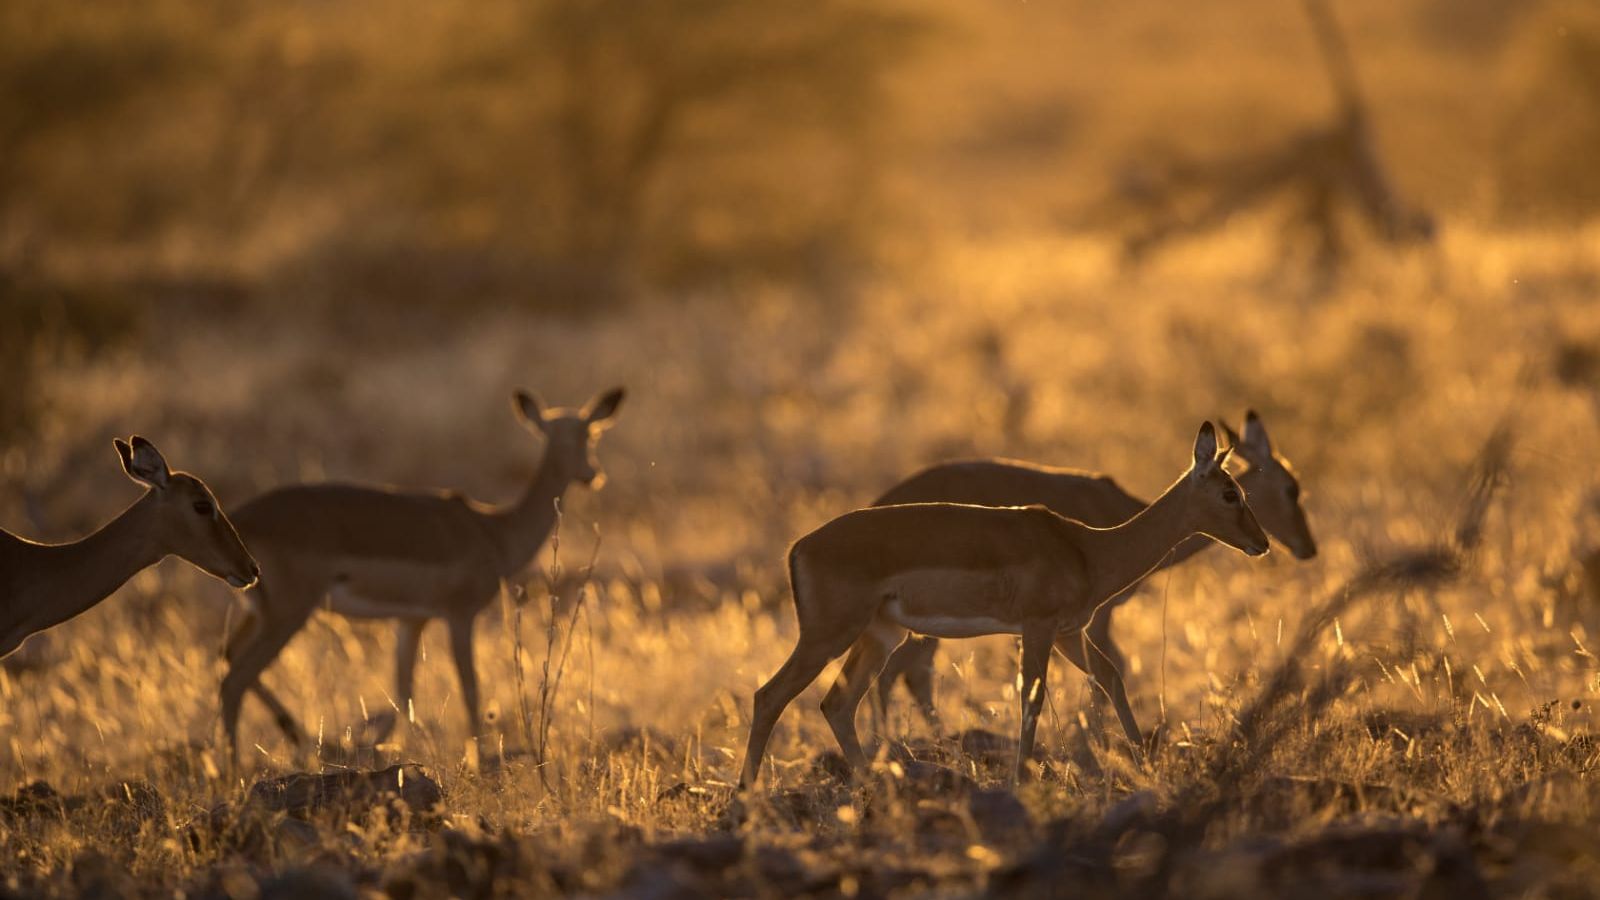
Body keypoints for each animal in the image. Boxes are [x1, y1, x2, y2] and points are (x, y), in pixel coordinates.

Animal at [219, 387, 623, 763]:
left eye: (591, 433)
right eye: (562, 436)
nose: (592, 475)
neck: (494, 532)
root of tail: (239, 520)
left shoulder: (411, 620)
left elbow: (403, 692)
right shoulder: (460, 614)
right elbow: (470, 687)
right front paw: (479, 761)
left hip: (260, 612)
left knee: (228, 657)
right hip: (289, 614)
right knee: (234, 680)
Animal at [739, 423, 1268, 788]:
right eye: (1230, 492)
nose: (1261, 543)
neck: (1087, 548)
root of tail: (799, 547)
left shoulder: (1069, 633)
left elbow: (1111, 677)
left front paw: (1143, 765)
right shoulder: (1037, 629)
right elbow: (1030, 697)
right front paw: (1021, 778)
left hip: (879, 636)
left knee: (837, 703)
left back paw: (871, 787)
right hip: (829, 635)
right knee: (770, 696)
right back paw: (747, 796)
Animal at [871, 411, 1316, 754]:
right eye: (1290, 487)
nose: (1303, 547)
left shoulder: (1075, 627)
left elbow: (1108, 673)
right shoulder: (1093, 619)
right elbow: (1108, 671)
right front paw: (1095, 744)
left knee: (907, 673)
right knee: (898, 672)